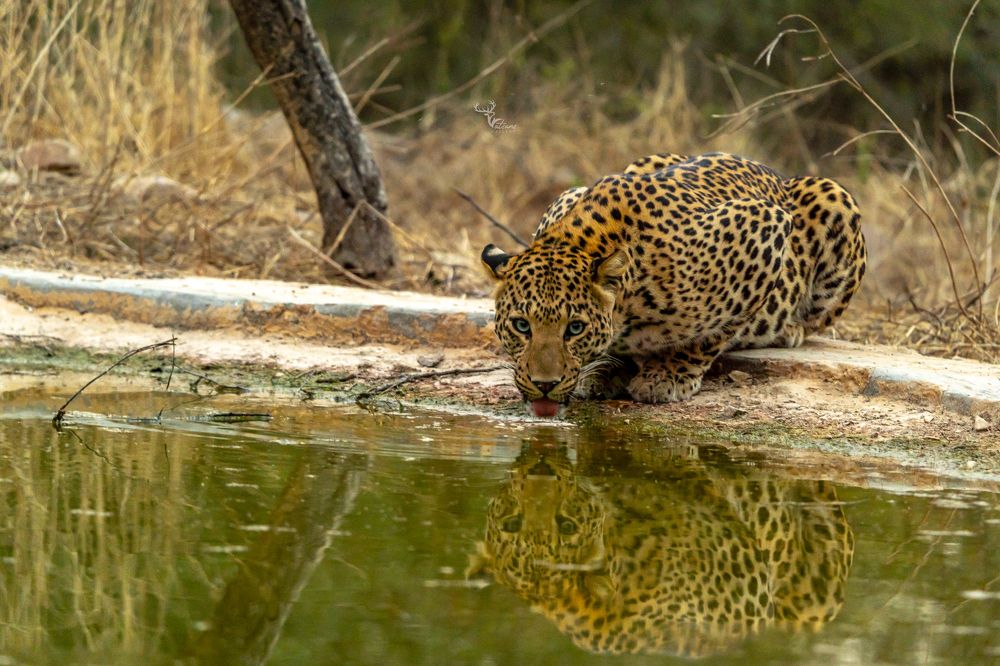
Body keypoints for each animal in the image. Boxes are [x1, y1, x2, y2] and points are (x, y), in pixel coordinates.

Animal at [480, 152, 866, 415]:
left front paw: (668, 375)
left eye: (574, 329)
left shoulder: (764, 225)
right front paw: (606, 369)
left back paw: (788, 329)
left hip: (835, 197)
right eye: (521, 326)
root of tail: (779, 175)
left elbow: (710, 335)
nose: (544, 386)